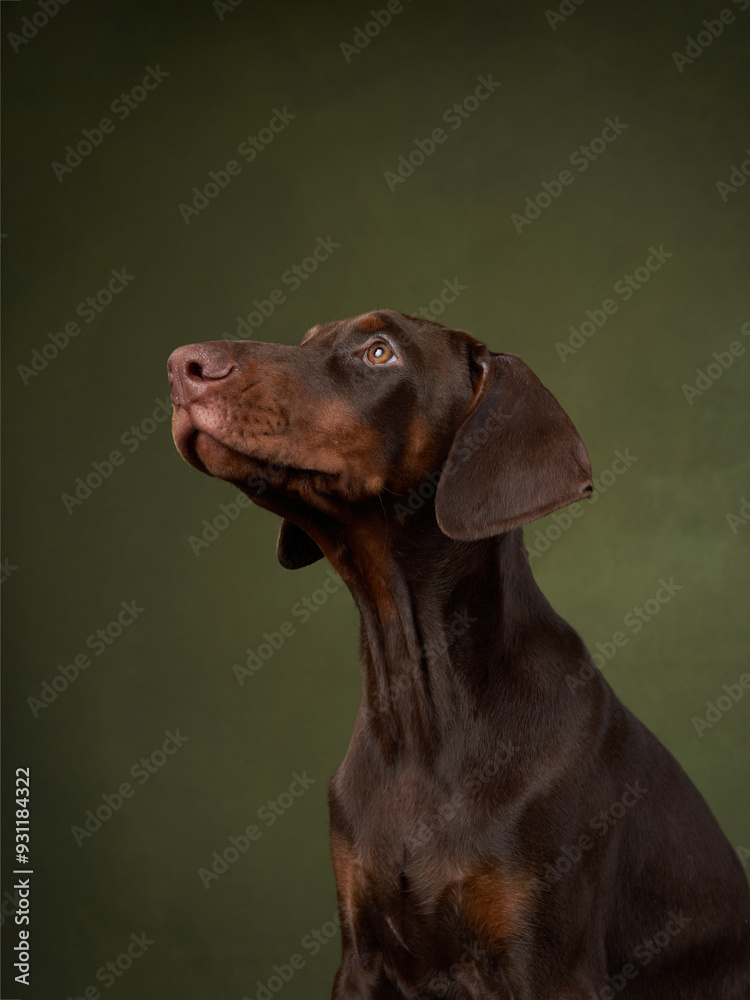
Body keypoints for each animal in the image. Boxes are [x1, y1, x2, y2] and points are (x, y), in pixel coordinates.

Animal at [169, 308, 750, 996]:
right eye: (309, 339)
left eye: (379, 352)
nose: (182, 365)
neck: (421, 706)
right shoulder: (361, 957)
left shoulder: (547, 966)